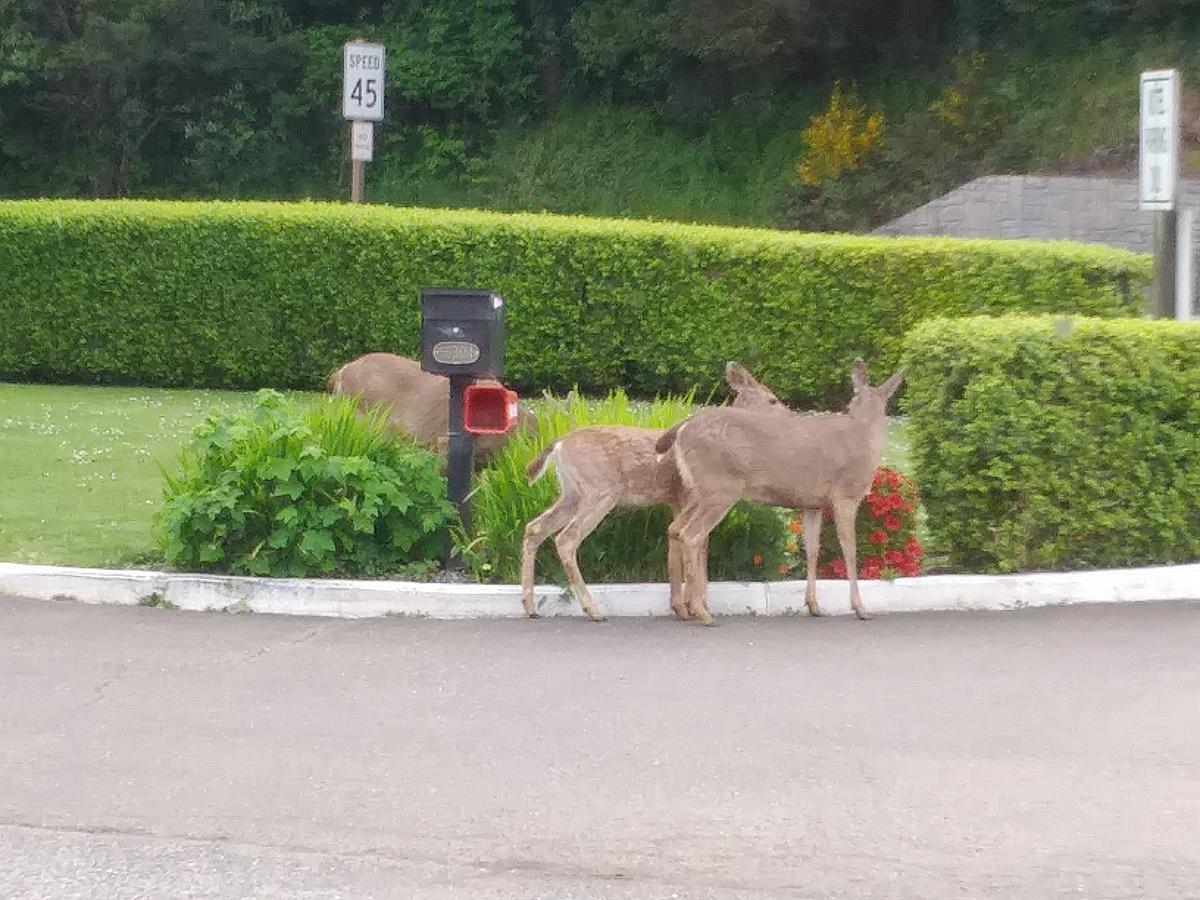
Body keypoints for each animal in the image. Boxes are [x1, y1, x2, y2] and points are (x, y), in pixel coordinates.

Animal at [520, 362, 782, 624]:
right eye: (772, 400)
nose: (786, 415)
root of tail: (559, 443)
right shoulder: (690, 497)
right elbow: (696, 543)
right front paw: (694, 606)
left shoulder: (678, 501)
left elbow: (681, 540)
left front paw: (684, 607)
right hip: (599, 490)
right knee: (566, 539)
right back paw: (593, 610)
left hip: (572, 493)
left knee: (534, 528)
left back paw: (531, 607)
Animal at [662, 360, 902, 628]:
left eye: (850, 402)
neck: (863, 434)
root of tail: (681, 430)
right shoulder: (845, 494)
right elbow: (849, 549)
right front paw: (860, 608)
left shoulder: (812, 504)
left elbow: (812, 549)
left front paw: (814, 605)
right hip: (720, 487)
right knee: (691, 535)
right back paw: (701, 613)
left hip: (699, 491)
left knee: (675, 528)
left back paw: (684, 608)